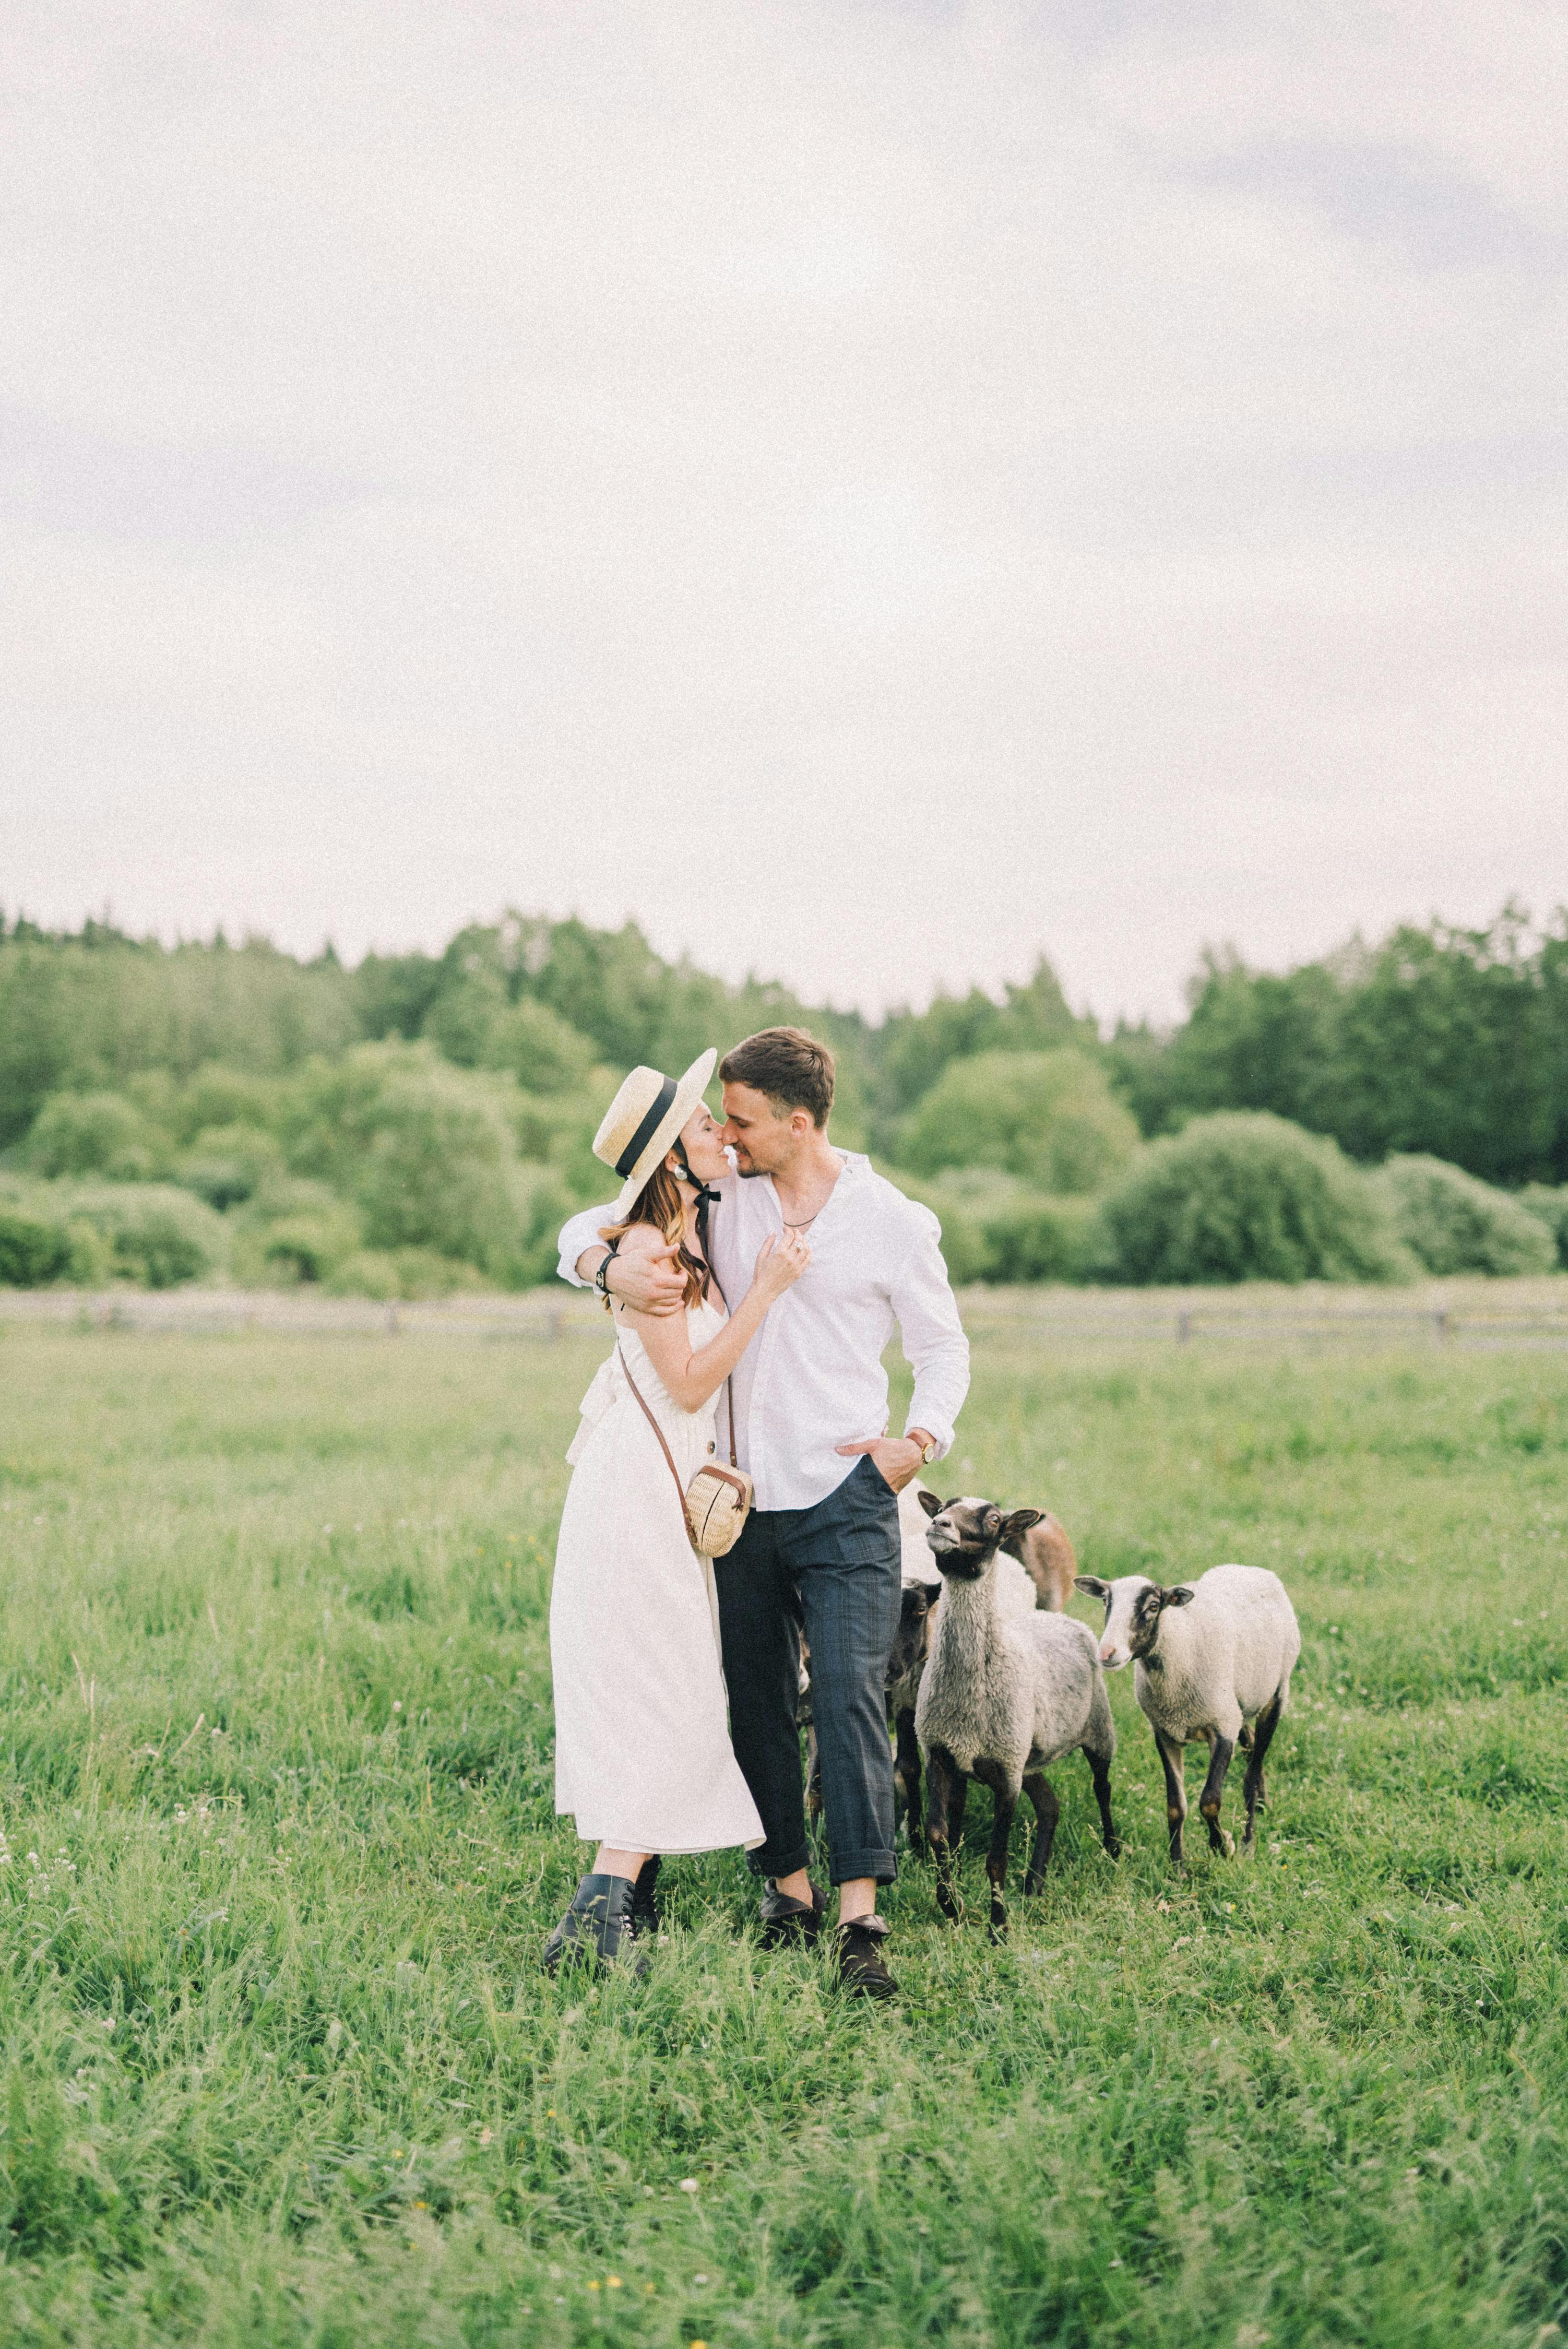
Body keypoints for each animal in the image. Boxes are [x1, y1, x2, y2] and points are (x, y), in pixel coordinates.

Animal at [910, 1494, 1122, 1936]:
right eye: (944, 1505)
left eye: (994, 1519)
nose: (940, 1525)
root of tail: (1055, 1616)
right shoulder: (940, 1754)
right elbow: (939, 1836)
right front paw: (952, 1908)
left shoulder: (1006, 1776)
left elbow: (996, 1860)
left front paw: (998, 1930)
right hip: (1028, 1755)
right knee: (1050, 1808)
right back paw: (1034, 1884)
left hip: (1097, 1731)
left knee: (1103, 1787)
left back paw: (1113, 1850)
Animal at [1070, 1560, 1305, 1870]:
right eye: (1107, 1602)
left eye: (1154, 1606)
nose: (1107, 1653)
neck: (1180, 1644)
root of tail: (1249, 1567)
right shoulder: (1166, 1732)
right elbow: (1175, 1807)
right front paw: (1178, 1868)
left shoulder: (1222, 1728)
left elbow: (1210, 1802)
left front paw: (1223, 1847)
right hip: (1239, 1703)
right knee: (1251, 1745)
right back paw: (1262, 1806)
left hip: (1276, 1693)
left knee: (1251, 1775)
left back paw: (1248, 1841)